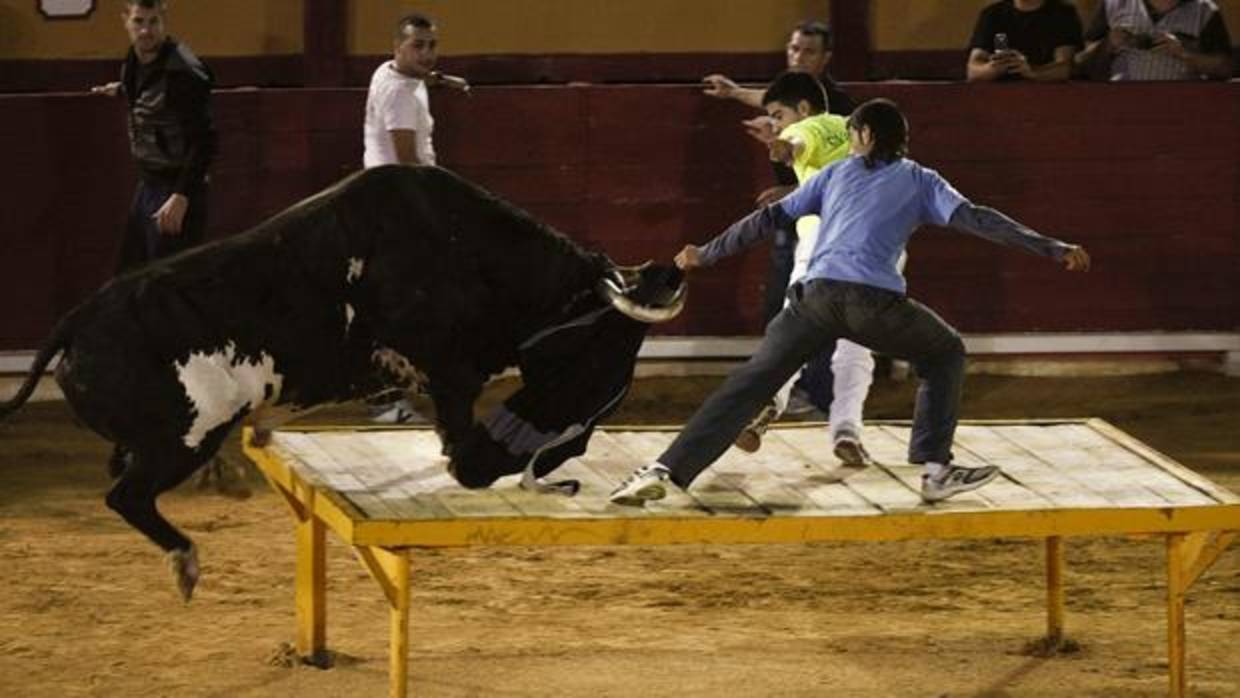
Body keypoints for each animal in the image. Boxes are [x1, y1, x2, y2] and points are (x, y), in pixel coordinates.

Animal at [0, 166, 684, 602]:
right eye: (599, 353)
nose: (576, 444)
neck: (469, 250)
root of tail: (76, 323)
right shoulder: (452, 374)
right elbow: (464, 452)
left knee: (123, 479)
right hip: (182, 440)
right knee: (126, 495)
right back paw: (187, 561)